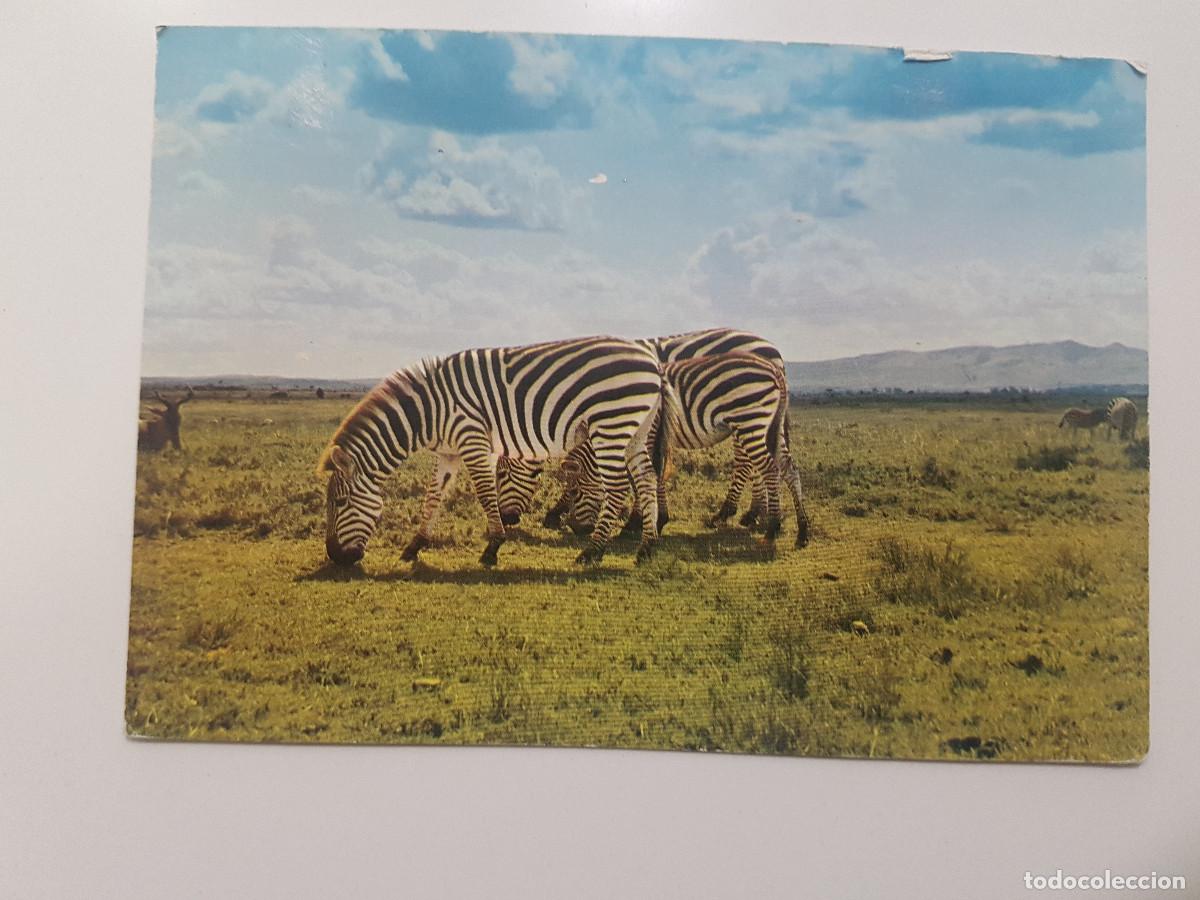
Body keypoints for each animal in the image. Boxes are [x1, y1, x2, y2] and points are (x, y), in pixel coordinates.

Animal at [318, 336, 669, 569]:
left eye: (339, 502)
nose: (335, 557)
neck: (430, 411)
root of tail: (653, 360)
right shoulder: (448, 453)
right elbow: (433, 497)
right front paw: (413, 546)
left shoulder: (473, 439)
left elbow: (486, 494)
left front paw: (492, 548)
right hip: (635, 431)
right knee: (647, 478)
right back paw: (646, 548)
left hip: (611, 424)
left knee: (618, 487)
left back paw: (593, 551)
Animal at [496, 328, 795, 532]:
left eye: (502, 474)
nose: (505, 519)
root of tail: (772, 348)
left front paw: (637, 519)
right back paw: (754, 513)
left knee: (747, 462)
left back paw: (729, 512)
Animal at [538, 353, 809, 547]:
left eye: (575, 492)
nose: (575, 529)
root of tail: (774, 369)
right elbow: (651, 477)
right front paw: (652, 521)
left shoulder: (646, 439)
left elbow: (645, 478)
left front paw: (641, 523)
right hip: (769, 426)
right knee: (789, 468)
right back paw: (802, 530)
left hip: (749, 421)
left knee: (770, 469)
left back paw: (772, 528)